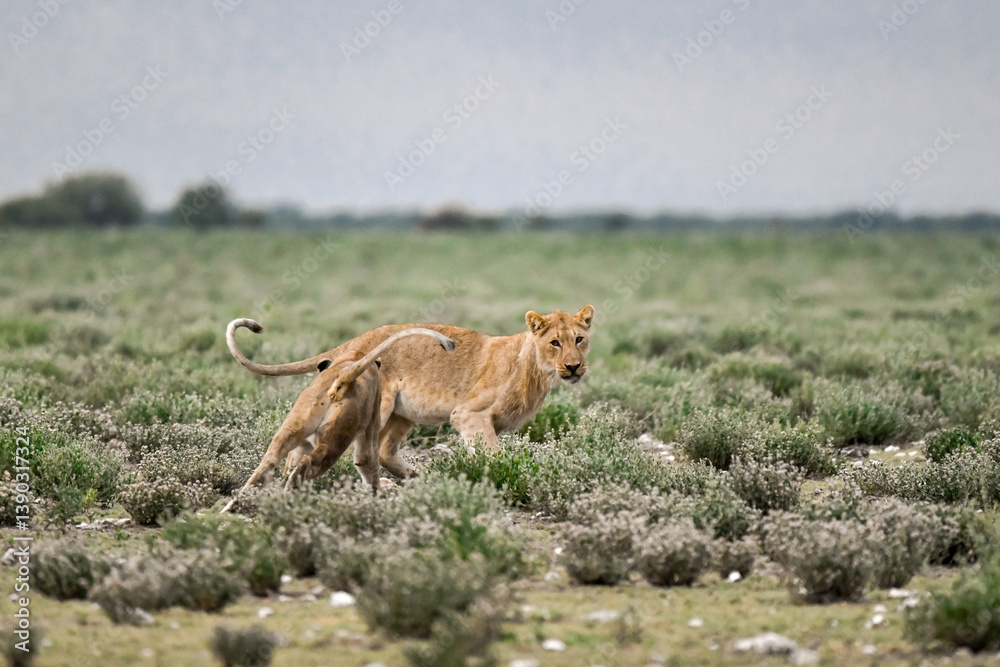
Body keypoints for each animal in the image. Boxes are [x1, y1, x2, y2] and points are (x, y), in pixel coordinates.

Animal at [221, 324, 455, 512]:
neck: (351, 358)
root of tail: (346, 374)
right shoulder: (371, 424)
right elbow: (367, 464)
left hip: (290, 430)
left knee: (264, 470)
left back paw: (229, 510)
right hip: (337, 438)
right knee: (307, 465)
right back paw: (288, 497)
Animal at [225, 305, 594, 479]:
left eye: (579, 339)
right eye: (555, 342)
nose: (574, 367)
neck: (536, 369)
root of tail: (357, 340)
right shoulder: (469, 414)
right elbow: (495, 456)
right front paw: (504, 475)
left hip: (405, 415)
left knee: (384, 452)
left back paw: (418, 477)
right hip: (380, 406)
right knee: (353, 450)